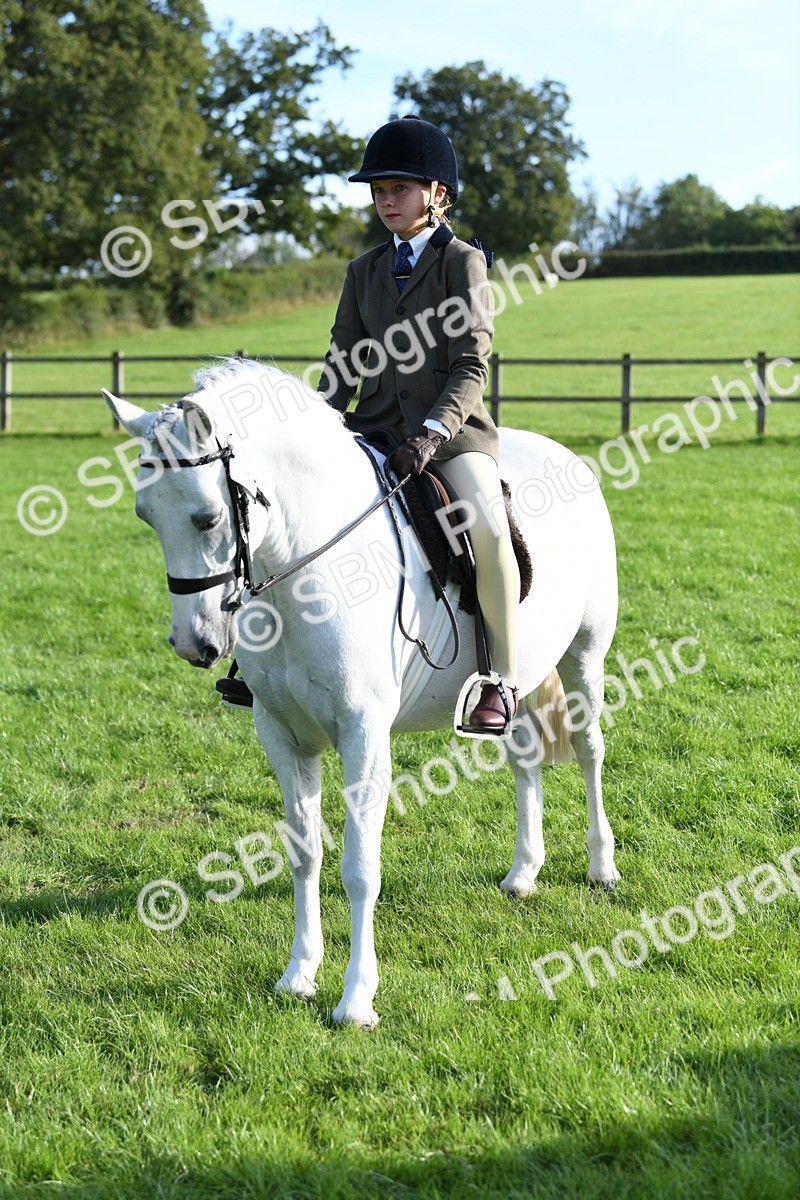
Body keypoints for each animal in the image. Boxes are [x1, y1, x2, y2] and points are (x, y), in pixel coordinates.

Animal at [103, 357, 620, 1028]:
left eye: (207, 517)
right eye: (146, 514)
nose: (194, 644)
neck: (302, 570)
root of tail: (566, 455)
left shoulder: (363, 734)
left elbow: (359, 868)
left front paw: (356, 999)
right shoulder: (282, 735)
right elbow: (304, 854)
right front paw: (298, 975)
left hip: (585, 656)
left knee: (589, 750)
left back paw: (602, 866)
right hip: (518, 681)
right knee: (524, 756)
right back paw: (523, 874)